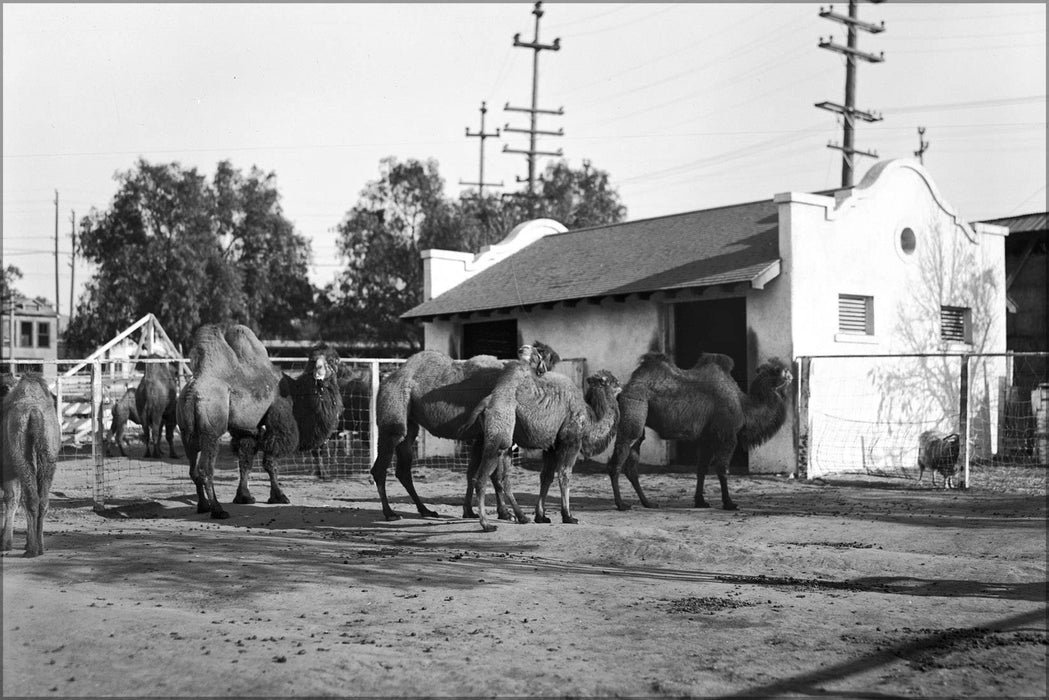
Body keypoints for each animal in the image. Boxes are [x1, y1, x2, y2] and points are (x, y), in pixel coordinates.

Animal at [2, 371, 60, 558]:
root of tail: (34, 412)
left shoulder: (7, 469)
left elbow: (11, 499)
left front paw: (6, 543)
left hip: (20, 456)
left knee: (30, 498)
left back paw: (32, 550)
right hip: (48, 456)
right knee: (42, 499)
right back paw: (38, 547)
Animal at [175, 325, 339, 518]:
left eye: (334, 360)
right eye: (313, 361)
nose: (319, 370)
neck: (296, 393)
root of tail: (192, 392)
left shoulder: (247, 430)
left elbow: (245, 461)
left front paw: (244, 497)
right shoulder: (279, 423)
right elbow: (270, 463)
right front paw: (279, 496)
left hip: (187, 433)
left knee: (192, 468)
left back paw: (203, 506)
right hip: (210, 431)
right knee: (205, 469)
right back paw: (218, 509)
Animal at [371, 342, 562, 522]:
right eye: (539, 356)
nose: (525, 348)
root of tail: (387, 380)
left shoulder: (479, 436)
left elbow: (473, 474)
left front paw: (470, 511)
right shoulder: (487, 435)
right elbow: (495, 476)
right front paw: (506, 514)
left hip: (410, 425)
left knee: (403, 468)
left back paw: (426, 510)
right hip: (394, 413)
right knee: (381, 464)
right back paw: (390, 513)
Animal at [463, 365, 616, 533]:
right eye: (613, 382)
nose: (621, 386)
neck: (589, 419)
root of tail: (486, 402)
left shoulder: (551, 447)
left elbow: (546, 477)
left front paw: (541, 516)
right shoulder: (571, 441)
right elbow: (564, 474)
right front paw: (568, 516)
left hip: (497, 441)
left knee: (500, 478)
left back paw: (520, 517)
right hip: (499, 437)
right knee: (482, 478)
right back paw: (487, 524)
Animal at [608, 352, 788, 512]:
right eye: (776, 370)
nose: (789, 375)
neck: (744, 406)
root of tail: (624, 390)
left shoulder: (707, 438)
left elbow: (701, 469)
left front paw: (700, 501)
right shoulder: (727, 436)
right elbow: (722, 469)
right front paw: (729, 503)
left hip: (640, 419)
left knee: (632, 464)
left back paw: (648, 503)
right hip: (634, 405)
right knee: (618, 459)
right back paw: (621, 505)